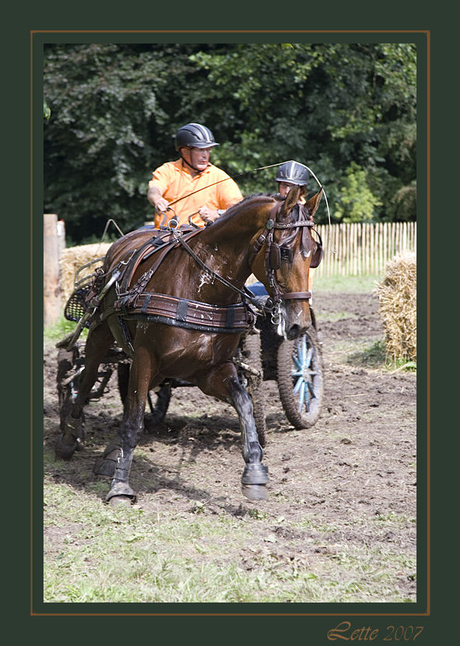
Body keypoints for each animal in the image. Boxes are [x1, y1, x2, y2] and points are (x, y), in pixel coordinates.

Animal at [56, 187, 324, 506]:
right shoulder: (145, 357)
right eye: (283, 251)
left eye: (315, 253)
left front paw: (255, 472)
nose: (299, 323)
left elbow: (245, 404)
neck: (201, 287)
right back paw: (69, 434)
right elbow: (133, 420)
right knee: (86, 379)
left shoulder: (210, 369)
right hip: (101, 333)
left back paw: (110, 453)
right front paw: (120, 486)